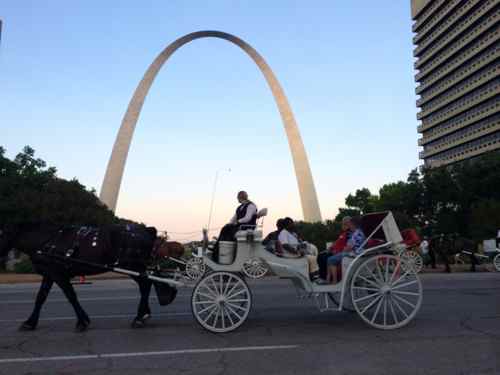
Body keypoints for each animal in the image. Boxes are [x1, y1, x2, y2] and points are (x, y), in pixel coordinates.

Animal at [0, 223, 177, 332]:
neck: (46, 242)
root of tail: (146, 229)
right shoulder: (50, 274)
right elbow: (40, 298)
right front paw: (30, 322)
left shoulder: (59, 274)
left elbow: (71, 296)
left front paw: (82, 321)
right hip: (135, 267)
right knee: (146, 285)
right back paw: (143, 315)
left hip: (132, 266)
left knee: (145, 285)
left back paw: (140, 317)